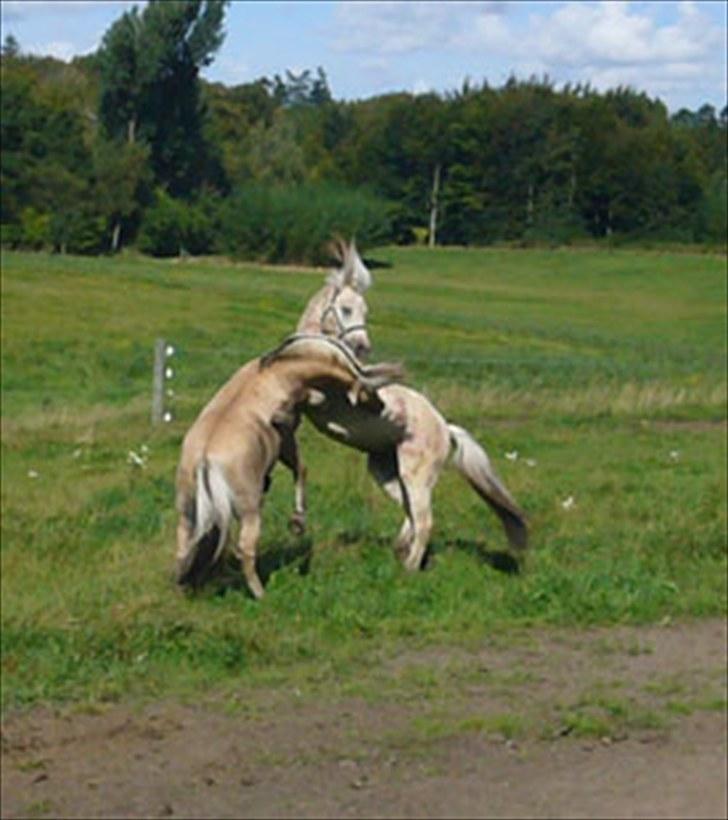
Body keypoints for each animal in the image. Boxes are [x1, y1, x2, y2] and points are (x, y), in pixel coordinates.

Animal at [175, 330, 404, 600]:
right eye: (369, 389)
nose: (382, 406)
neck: (277, 372)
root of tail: (204, 459)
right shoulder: (286, 438)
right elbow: (301, 468)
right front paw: (298, 521)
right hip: (250, 511)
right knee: (245, 549)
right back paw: (260, 593)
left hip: (188, 509)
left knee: (184, 543)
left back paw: (184, 583)